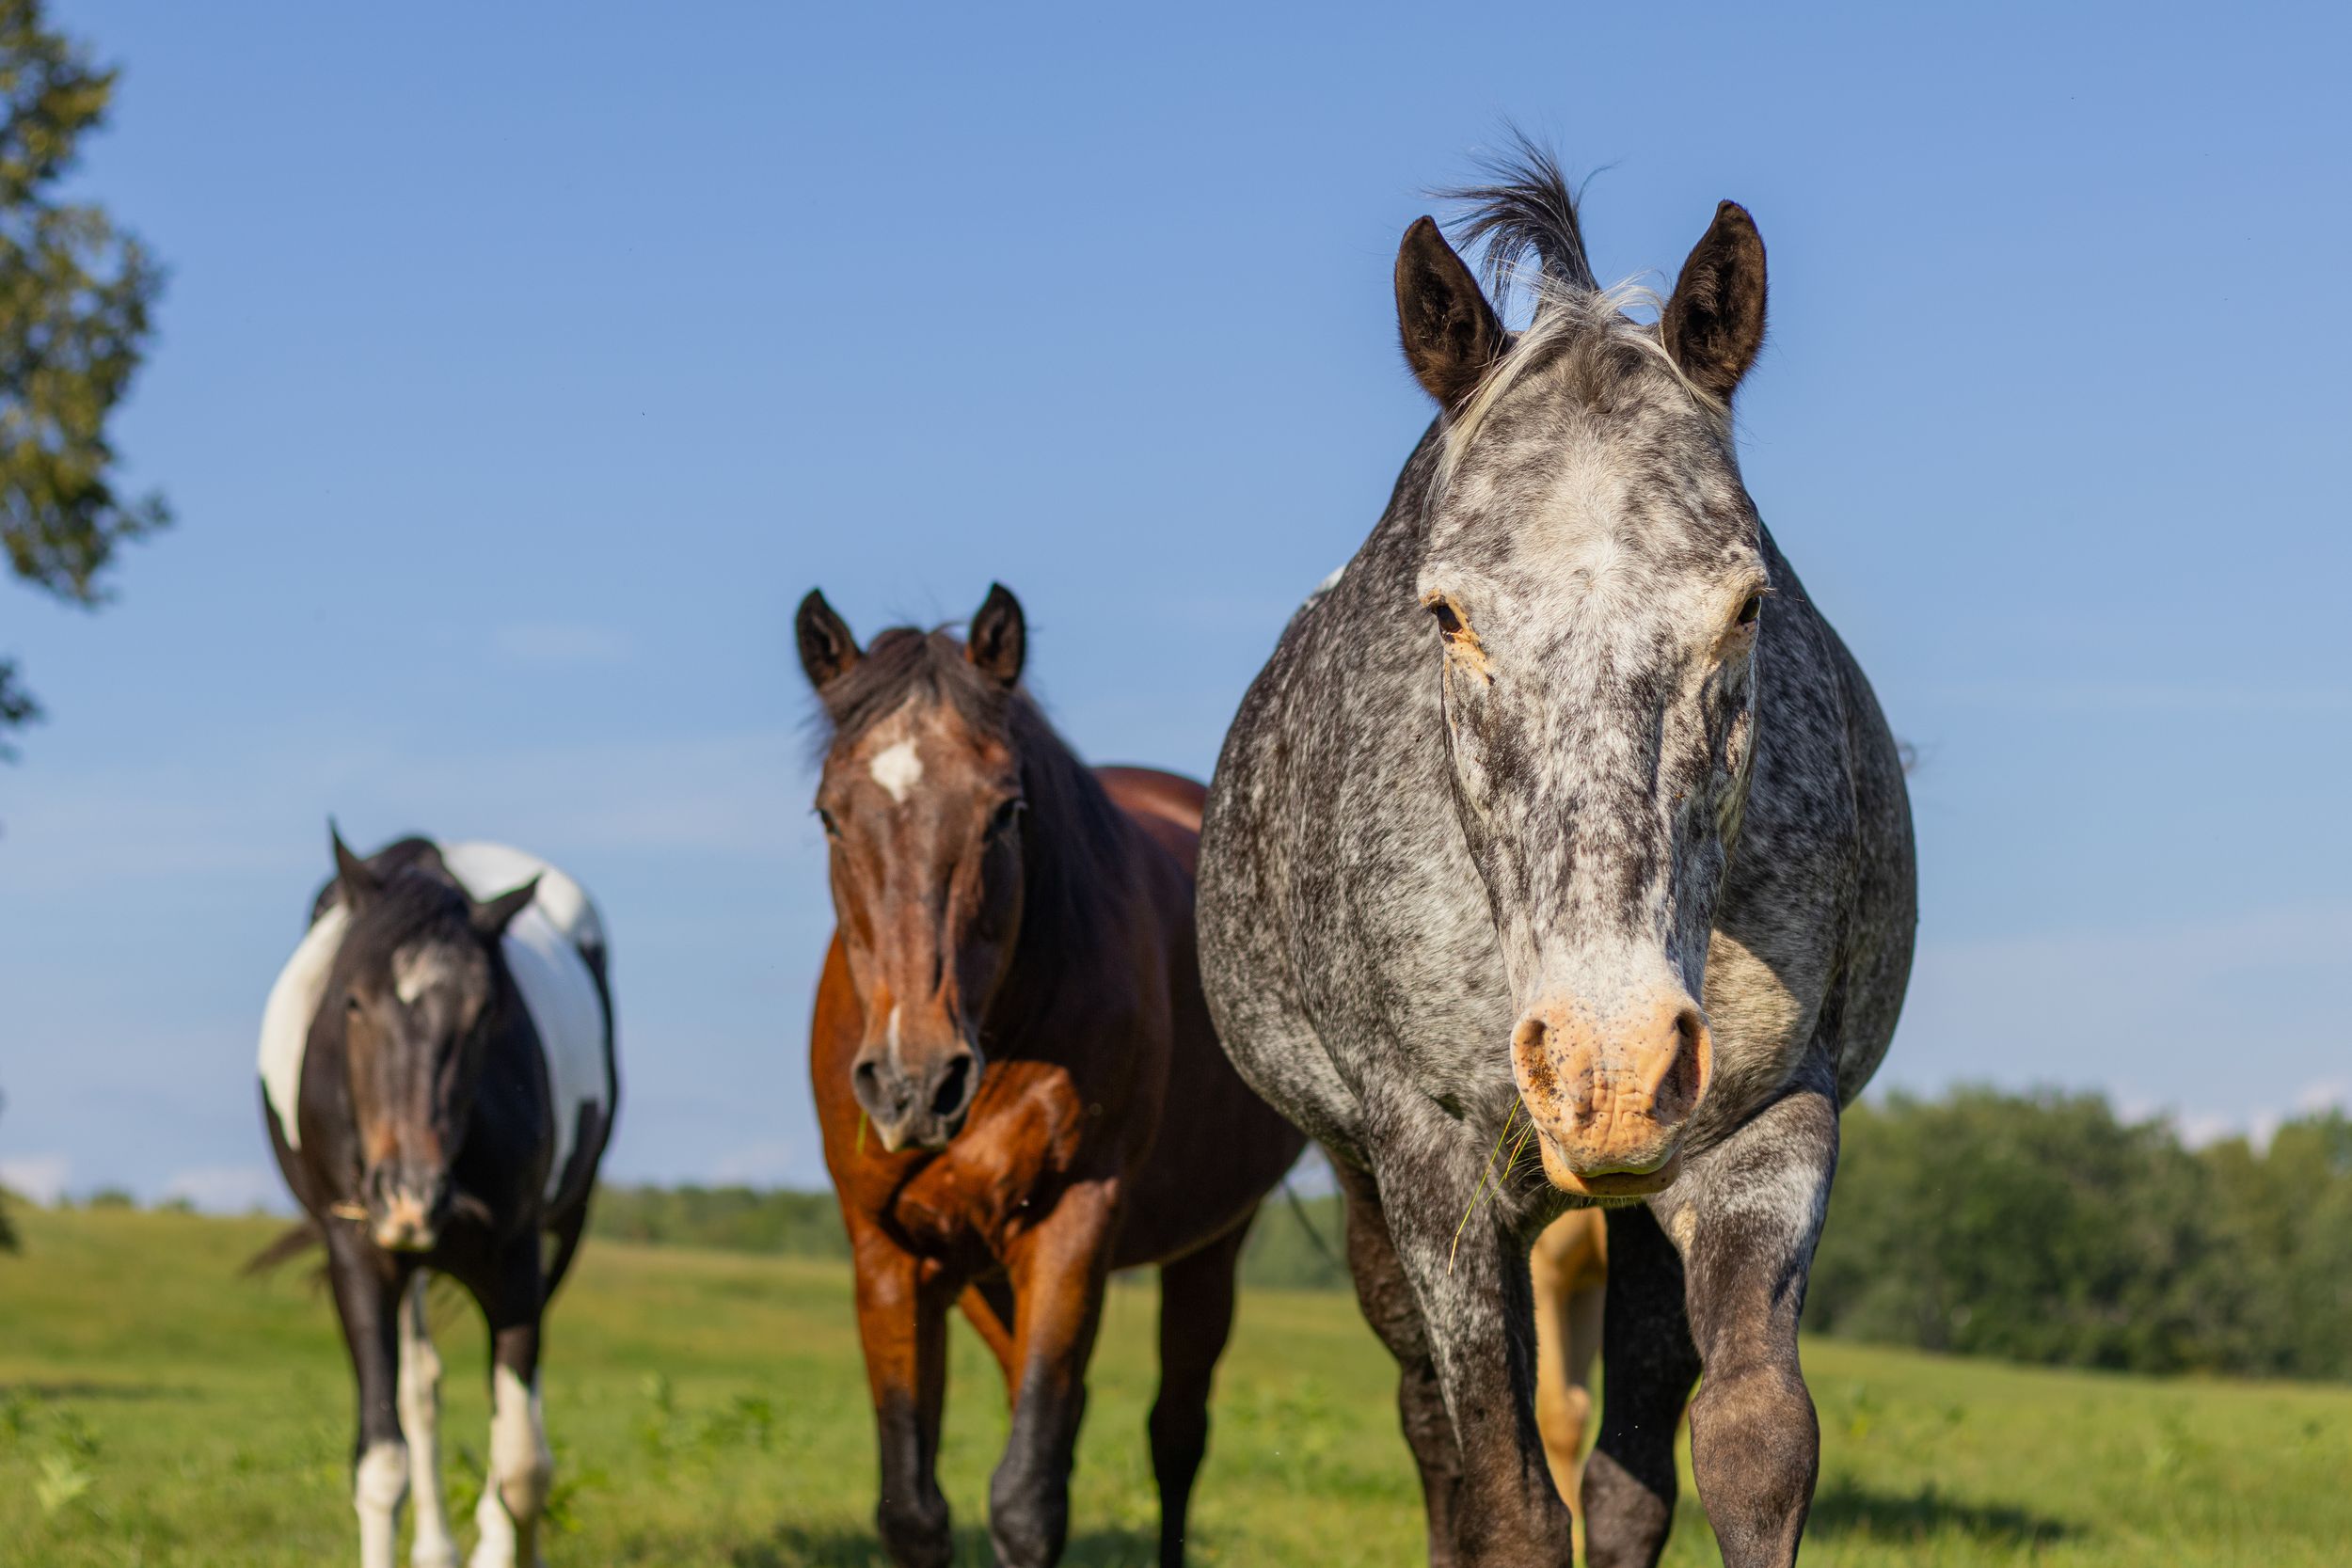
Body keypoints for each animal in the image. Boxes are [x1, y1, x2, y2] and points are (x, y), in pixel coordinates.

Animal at [258, 831, 618, 1568]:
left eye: (483, 1012)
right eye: (353, 1001)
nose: (411, 1193)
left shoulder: (517, 1255)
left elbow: (521, 1463)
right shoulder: (358, 1252)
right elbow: (382, 1463)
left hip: (560, 1233)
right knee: (419, 1389)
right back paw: (436, 1546)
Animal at [795, 583, 1306, 1568]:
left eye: (1004, 811)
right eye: (830, 814)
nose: (916, 1082)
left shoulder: (1072, 1223)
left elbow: (1027, 1498)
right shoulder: (888, 1249)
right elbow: (914, 1507)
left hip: (1209, 1246)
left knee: (1176, 1434)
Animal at [1196, 146, 1916, 1568]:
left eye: (1746, 601)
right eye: (1447, 613)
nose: (1608, 1066)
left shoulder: (1768, 1119)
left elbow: (1751, 1446)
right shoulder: (1430, 1161)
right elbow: (1502, 1491)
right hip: (1371, 1185)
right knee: (1432, 1421)